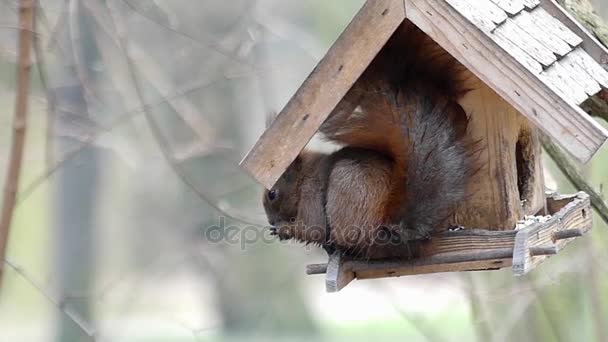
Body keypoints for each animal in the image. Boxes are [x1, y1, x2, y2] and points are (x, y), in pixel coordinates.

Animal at [262, 22, 480, 260]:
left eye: (272, 193)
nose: (271, 221)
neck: (302, 178)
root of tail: (389, 233)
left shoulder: (312, 193)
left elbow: (313, 228)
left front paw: (284, 229)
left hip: (346, 181)